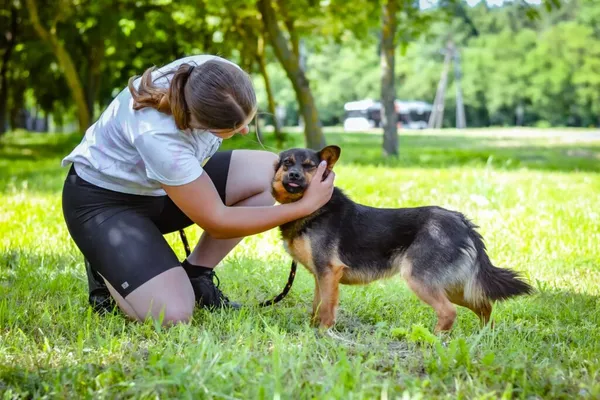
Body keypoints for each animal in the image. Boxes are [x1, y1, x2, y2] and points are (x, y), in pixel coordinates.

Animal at [272, 145, 536, 332]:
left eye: (309, 166)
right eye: (287, 163)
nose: (294, 174)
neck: (315, 206)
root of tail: (462, 221)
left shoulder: (328, 272)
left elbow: (326, 310)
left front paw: (323, 335)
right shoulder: (321, 276)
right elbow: (316, 308)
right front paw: (312, 331)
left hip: (420, 279)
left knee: (449, 312)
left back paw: (434, 340)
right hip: (452, 285)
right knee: (483, 304)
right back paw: (484, 336)